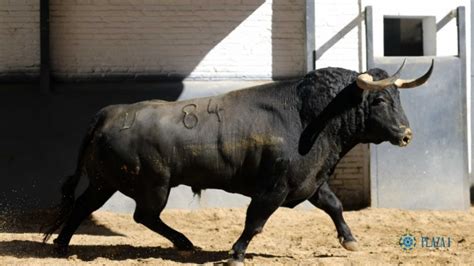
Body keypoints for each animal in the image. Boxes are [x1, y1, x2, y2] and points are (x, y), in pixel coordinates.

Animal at [43, 61, 434, 262]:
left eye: (397, 97)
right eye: (380, 100)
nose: (407, 135)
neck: (311, 116)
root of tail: (109, 114)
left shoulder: (310, 182)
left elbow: (334, 205)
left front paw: (350, 241)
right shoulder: (274, 188)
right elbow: (255, 221)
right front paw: (237, 252)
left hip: (105, 181)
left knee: (84, 206)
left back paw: (62, 246)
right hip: (153, 186)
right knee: (143, 215)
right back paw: (183, 242)